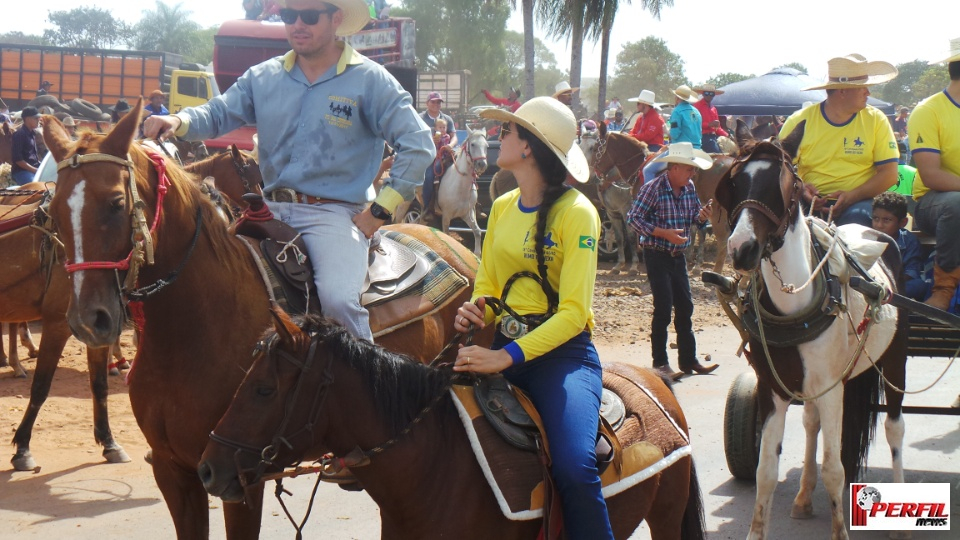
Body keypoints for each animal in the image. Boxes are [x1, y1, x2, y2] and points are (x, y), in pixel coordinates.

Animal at [7, 141, 262, 470]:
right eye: (250, 174)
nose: (261, 202)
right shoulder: (59, 321)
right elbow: (41, 386)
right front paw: (23, 447)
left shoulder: (102, 320)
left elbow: (99, 383)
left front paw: (109, 441)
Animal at [41, 101, 484, 540]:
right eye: (55, 208)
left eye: (116, 203)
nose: (89, 318)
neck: (192, 332)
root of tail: (456, 247)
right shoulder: (174, 471)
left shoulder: (240, 477)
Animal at [712, 123, 908, 540]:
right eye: (734, 182)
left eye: (787, 183)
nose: (742, 248)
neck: (795, 305)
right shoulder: (773, 387)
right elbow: (765, 471)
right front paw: (758, 529)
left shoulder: (832, 387)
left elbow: (835, 467)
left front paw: (840, 529)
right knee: (811, 422)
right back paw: (803, 496)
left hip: (894, 359)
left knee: (894, 429)